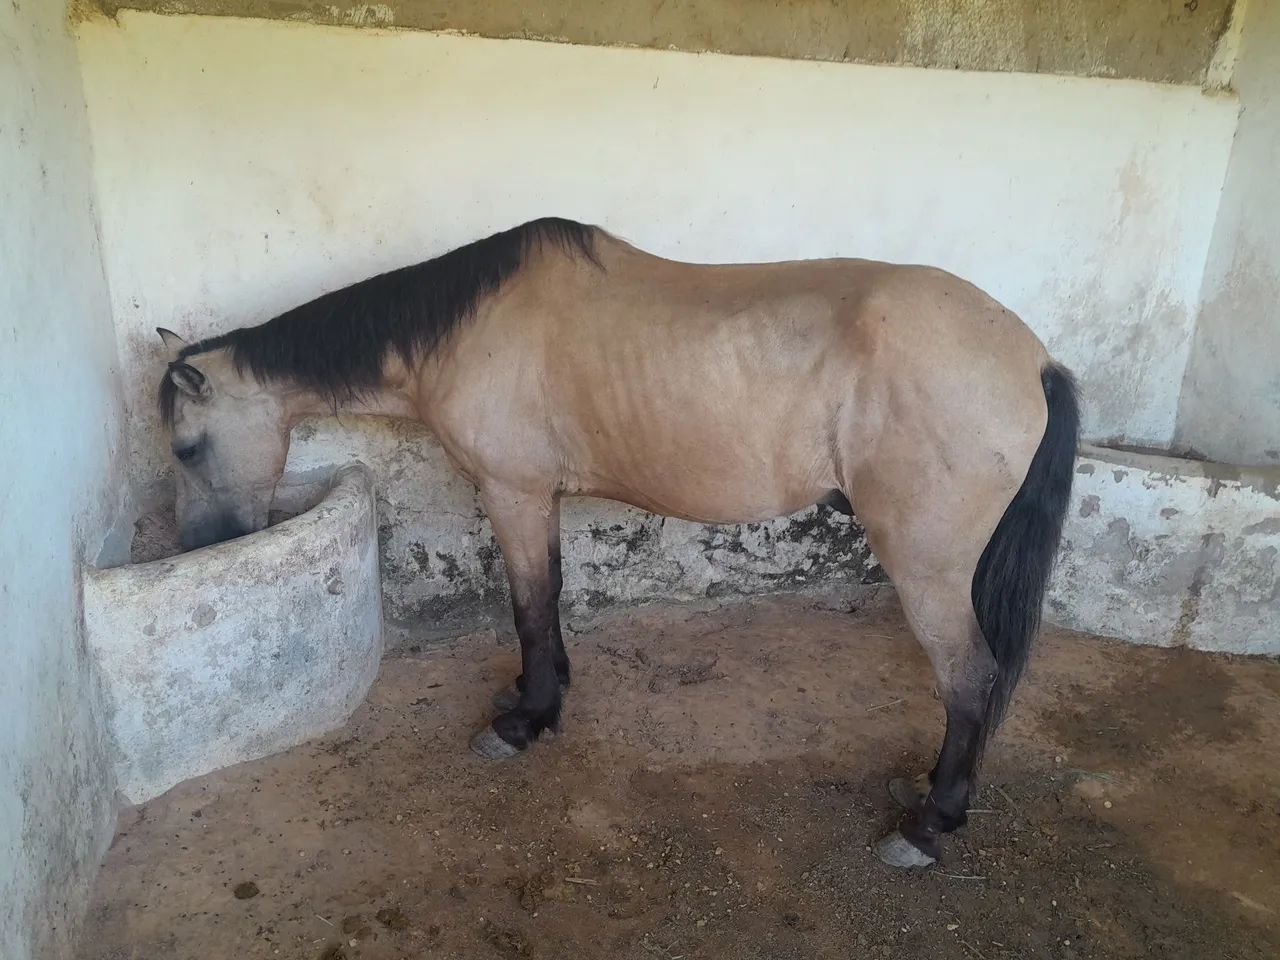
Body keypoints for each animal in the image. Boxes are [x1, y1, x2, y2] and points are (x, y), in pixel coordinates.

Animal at [156, 217, 1079, 867]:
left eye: (186, 448)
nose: (197, 546)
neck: (467, 327)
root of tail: (1034, 358)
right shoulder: (542, 498)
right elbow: (551, 594)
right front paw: (546, 694)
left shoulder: (512, 492)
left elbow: (528, 604)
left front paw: (524, 720)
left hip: (927, 567)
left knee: (972, 676)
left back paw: (930, 824)